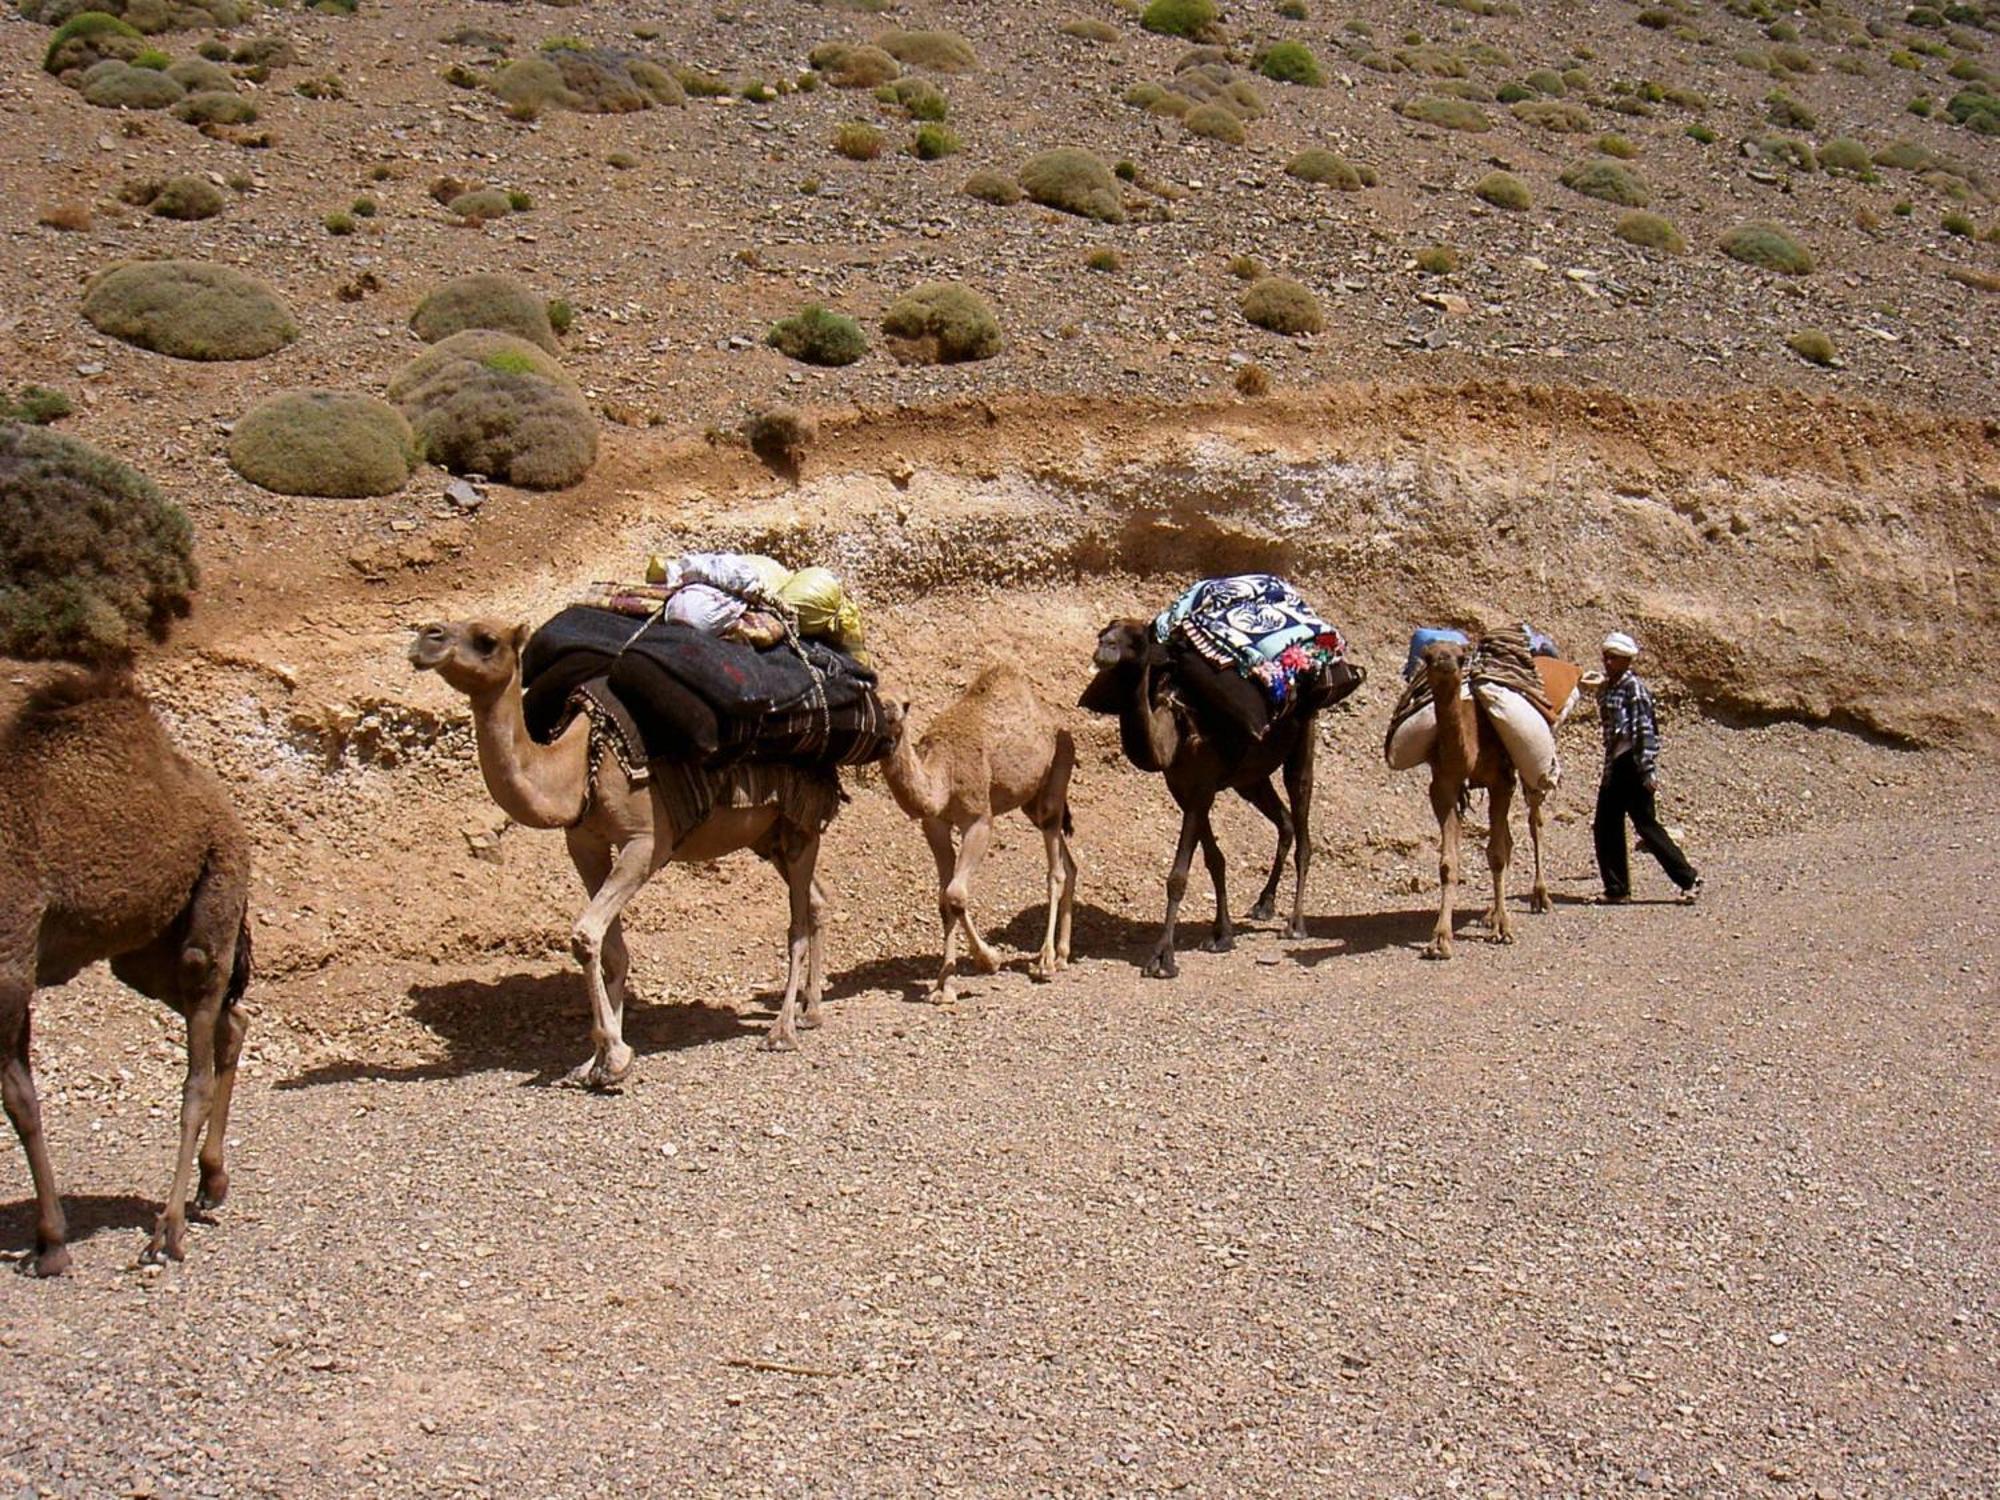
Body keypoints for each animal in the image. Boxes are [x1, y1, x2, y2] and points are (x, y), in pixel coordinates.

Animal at [1, 672, 252, 1280]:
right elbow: (21, 1101)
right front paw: (49, 1243)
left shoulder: (10, 964)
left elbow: (18, 1099)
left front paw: (51, 1244)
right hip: (142, 952)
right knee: (231, 1022)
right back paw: (213, 1184)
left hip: (213, 904)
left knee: (198, 1070)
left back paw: (169, 1232)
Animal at [410, 616, 832, 1072]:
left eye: (486, 640)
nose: (425, 638)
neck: (578, 766)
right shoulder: (584, 843)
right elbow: (610, 948)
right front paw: (594, 1061)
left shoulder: (646, 842)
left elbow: (585, 935)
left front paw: (613, 1055)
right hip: (767, 836)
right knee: (816, 899)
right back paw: (811, 1011)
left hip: (801, 820)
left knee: (797, 923)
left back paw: (782, 1031)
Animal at [884, 668, 1080, 1000]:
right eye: (870, 695)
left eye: (907, 704)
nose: (889, 710)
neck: (943, 774)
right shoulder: (934, 824)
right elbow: (944, 899)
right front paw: (944, 987)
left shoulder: (978, 820)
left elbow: (956, 894)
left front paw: (989, 960)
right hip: (1030, 801)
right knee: (1070, 864)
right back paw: (1064, 955)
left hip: (1058, 771)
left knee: (1056, 870)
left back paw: (1046, 961)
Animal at [1080, 620, 1328, 980]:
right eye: (1104, 632)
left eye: (1138, 638)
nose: (1105, 647)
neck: (1172, 737)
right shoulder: (1184, 789)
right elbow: (1215, 860)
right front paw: (1221, 935)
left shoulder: (1201, 787)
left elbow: (1178, 876)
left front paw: (1163, 958)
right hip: (1250, 778)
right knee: (1284, 822)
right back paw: (1263, 904)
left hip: (1304, 737)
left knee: (1301, 816)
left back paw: (1295, 925)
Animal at [1408, 636, 1544, 964]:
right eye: (1428, 655)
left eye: (1461, 656)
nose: (1445, 660)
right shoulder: (1442, 786)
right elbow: (1448, 862)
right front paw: (1440, 941)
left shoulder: (1501, 781)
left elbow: (1496, 854)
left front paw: (1504, 929)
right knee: (1507, 838)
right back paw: (1490, 913)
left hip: (1527, 772)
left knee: (1534, 820)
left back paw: (1539, 896)